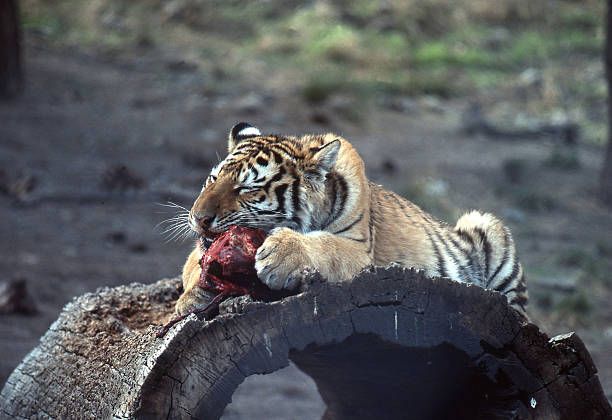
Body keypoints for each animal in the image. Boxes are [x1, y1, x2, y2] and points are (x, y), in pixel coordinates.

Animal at [176, 123, 524, 316]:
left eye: (247, 188)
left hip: (488, 230)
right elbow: (192, 265)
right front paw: (189, 298)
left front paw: (280, 255)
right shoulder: (198, 251)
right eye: (212, 179)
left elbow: (324, 246)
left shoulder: (358, 250)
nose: (198, 218)